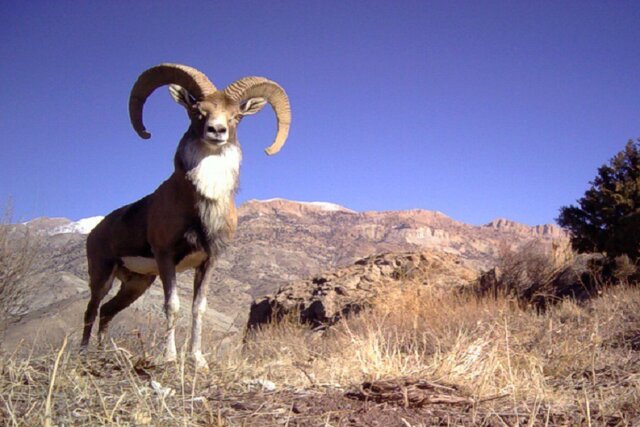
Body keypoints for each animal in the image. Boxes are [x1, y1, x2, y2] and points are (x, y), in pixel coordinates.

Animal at [81, 63, 292, 368]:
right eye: (197, 111)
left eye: (237, 116)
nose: (217, 130)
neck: (202, 204)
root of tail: (95, 232)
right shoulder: (166, 256)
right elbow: (172, 306)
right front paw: (169, 358)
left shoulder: (208, 261)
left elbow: (198, 308)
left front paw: (197, 359)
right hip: (102, 274)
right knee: (91, 310)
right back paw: (83, 354)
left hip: (137, 283)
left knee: (107, 311)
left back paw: (103, 354)